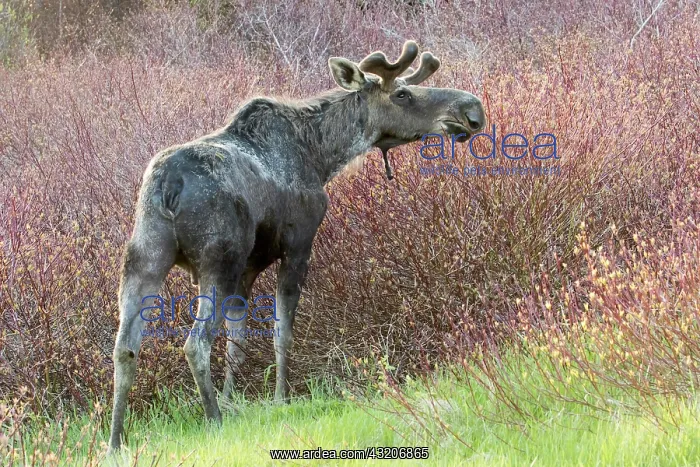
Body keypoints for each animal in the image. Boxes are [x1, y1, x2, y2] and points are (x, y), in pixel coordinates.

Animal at [109, 40, 485, 450]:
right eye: (402, 94)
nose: (471, 112)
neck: (321, 156)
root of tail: (168, 186)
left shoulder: (248, 269)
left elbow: (238, 343)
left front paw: (233, 399)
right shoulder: (298, 245)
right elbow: (282, 332)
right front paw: (279, 399)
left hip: (145, 259)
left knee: (125, 347)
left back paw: (116, 440)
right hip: (217, 261)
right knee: (195, 344)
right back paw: (213, 420)